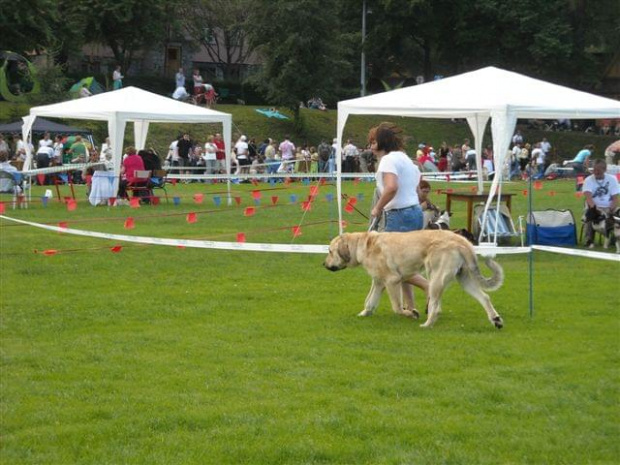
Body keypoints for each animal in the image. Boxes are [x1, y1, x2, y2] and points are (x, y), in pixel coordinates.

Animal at [324, 230, 504, 328]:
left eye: (330, 251)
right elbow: (369, 302)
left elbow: (397, 307)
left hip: (435, 279)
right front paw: (363, 314)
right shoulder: (379, 283)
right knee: (485, 297)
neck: (364, 246)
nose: (323, 264)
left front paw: (411, 313)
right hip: (464, 279)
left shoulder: (392, 281)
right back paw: (495, 319)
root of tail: (462, 241)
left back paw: (427, 324)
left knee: (436, 307)